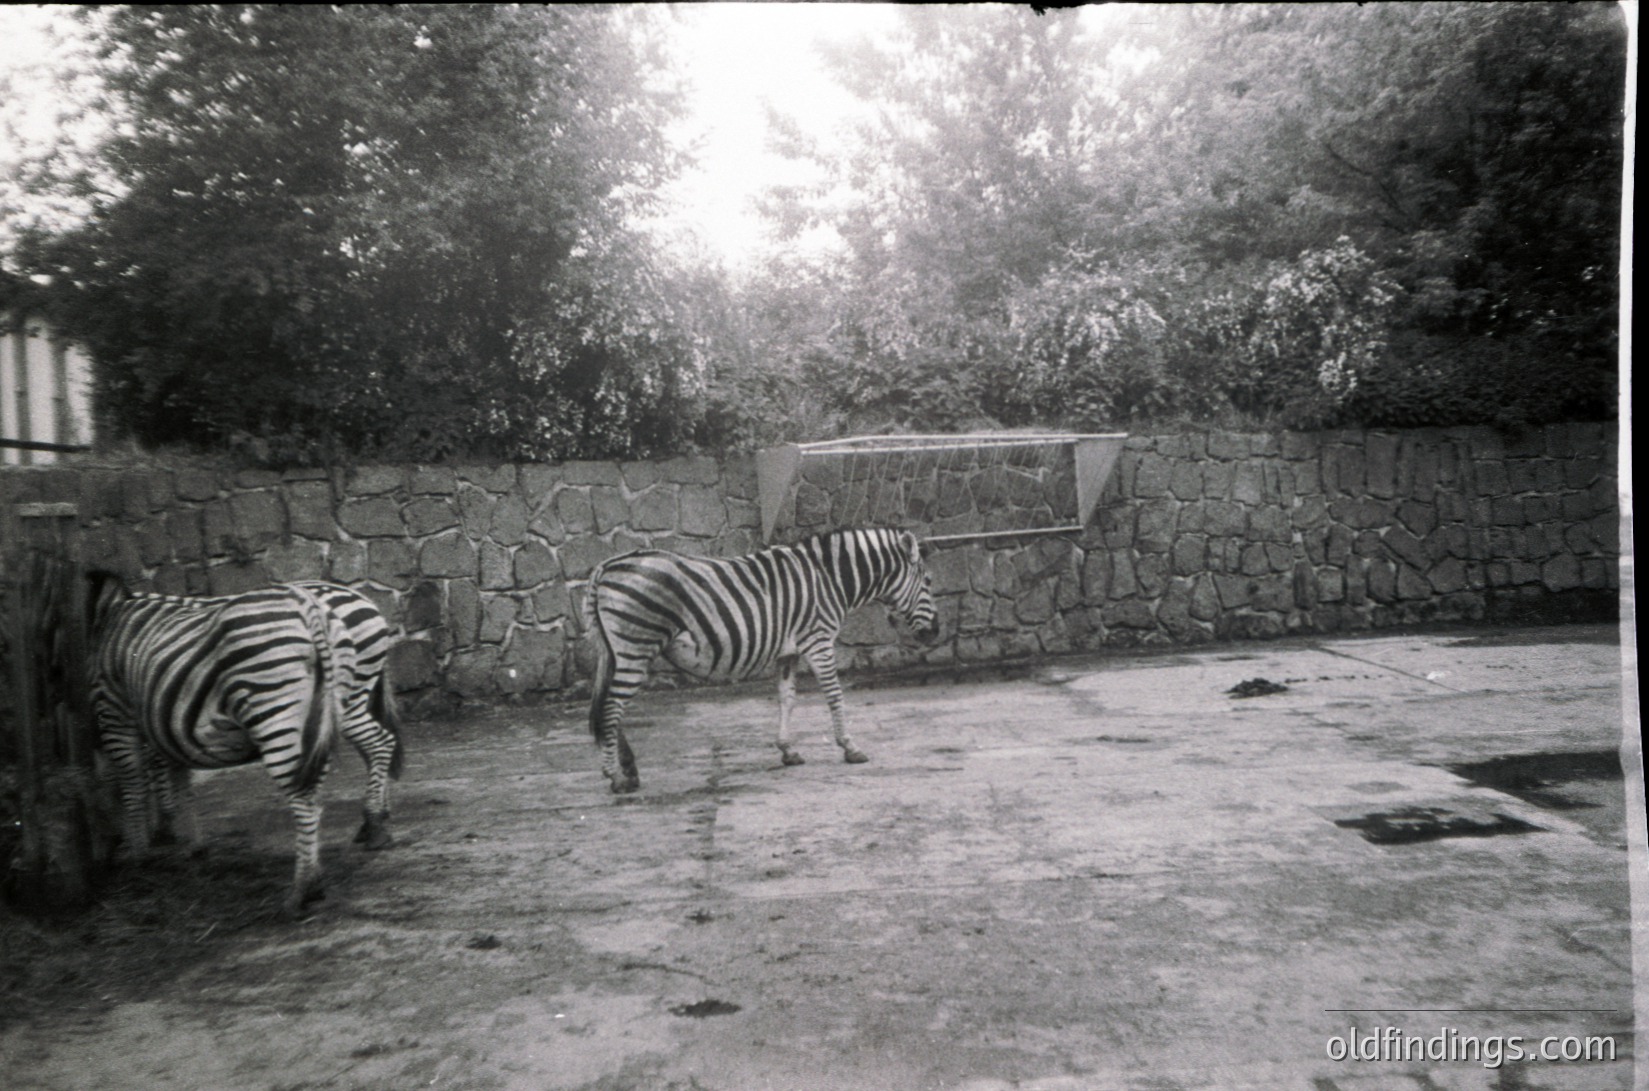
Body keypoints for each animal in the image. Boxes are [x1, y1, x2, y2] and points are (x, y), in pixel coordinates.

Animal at [86, 572, 403, 916]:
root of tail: (362, 599)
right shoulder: (163, 716)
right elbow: (176, 772)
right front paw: (187, 842)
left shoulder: (118, 710)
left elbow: (135, 780)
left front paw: (145, 848)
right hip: (339, 702)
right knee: (371, 748)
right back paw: (374, 821)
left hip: (319, 703)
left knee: (374, 747)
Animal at [584, 527, 940, 794]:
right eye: (928, 582)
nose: (936, 632)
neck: (828, 578)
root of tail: (606, 565)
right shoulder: (819, 641)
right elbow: (835, 696)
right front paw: (850, 748)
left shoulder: (789, 650)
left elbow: (787, 699)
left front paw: (788, 750)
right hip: (636, 645)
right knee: (612, 707)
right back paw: (615, 777)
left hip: (617, 651)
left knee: (609, 706)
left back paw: (628, 771)